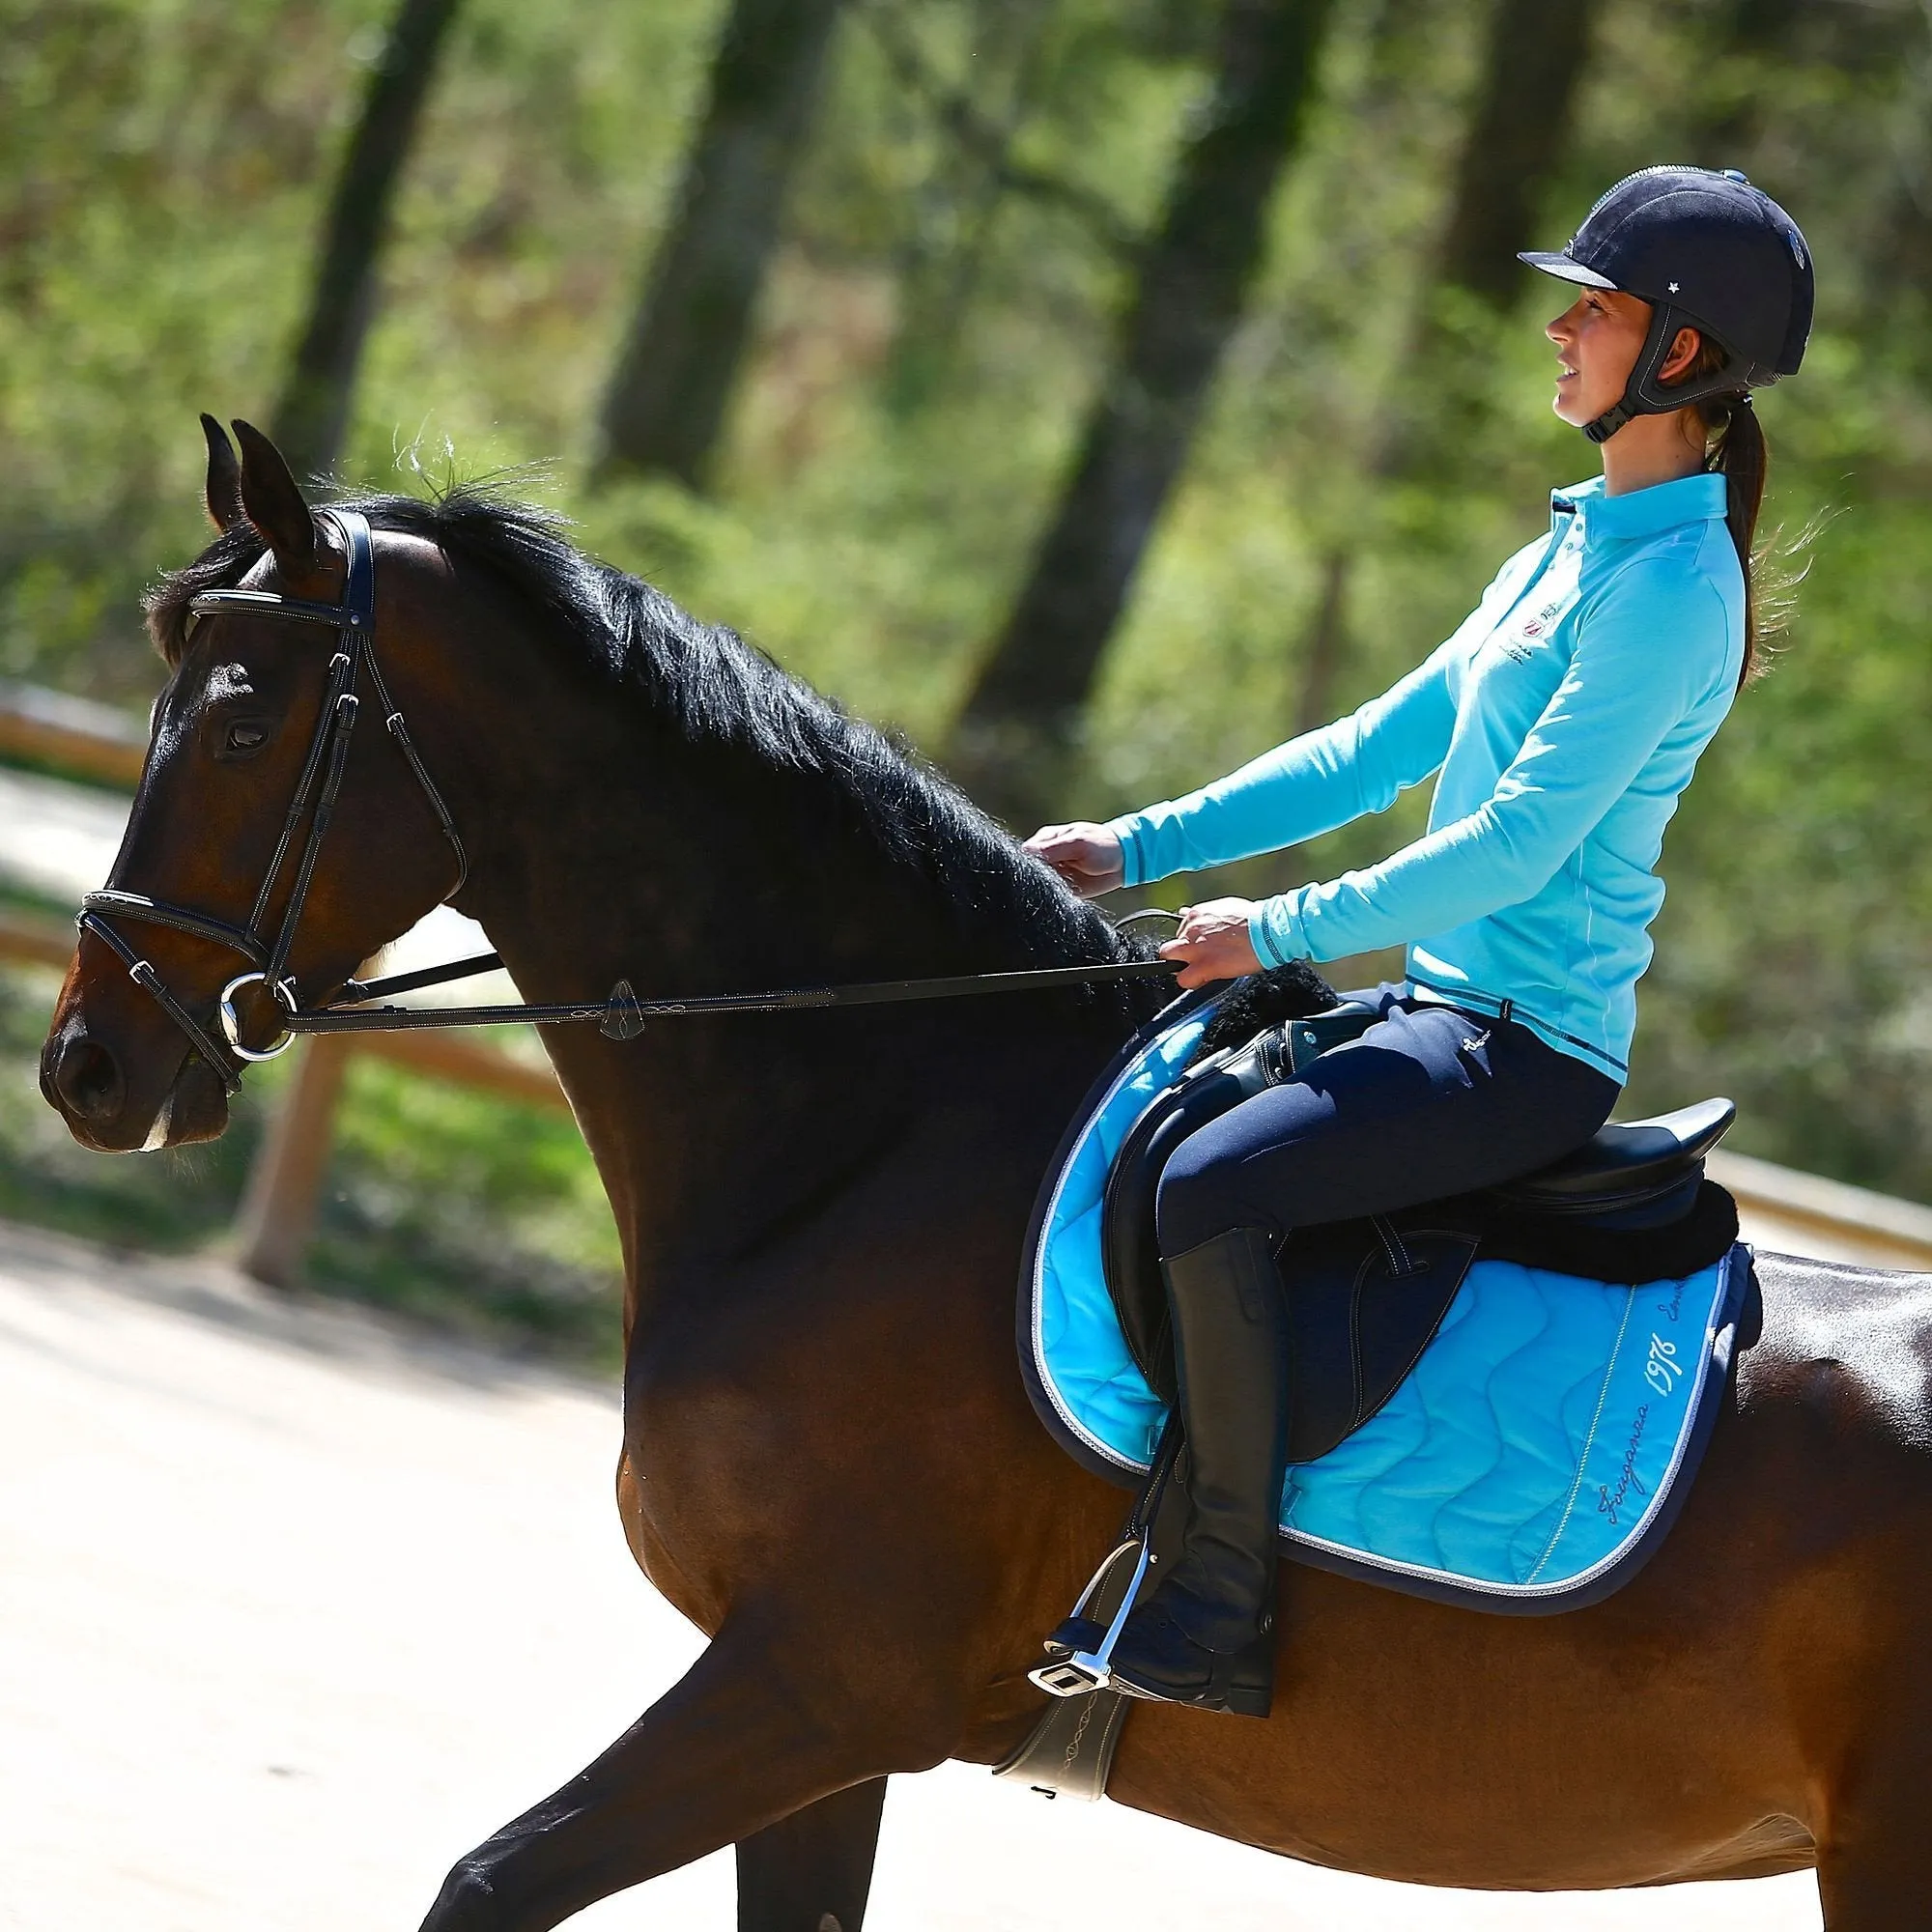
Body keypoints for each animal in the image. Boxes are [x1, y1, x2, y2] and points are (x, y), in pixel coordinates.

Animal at [38, 419, 1932, 1917]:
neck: (875, 1136)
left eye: (238, 724)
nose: (89, 1068)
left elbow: (486, 1885)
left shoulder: (821, 1678)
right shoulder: (819, 1724)